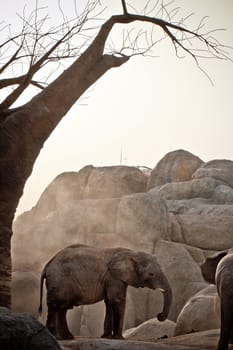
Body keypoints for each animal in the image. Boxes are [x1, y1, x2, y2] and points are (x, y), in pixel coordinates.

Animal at [38, 243, 173, 340]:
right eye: (151, 274)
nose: (159, 315)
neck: (133, 253)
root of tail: (47, 265)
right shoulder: (114, 277)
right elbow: (117, 301)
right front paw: (119, 339)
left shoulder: (112, 279)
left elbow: (109, 302)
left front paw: (106, 337)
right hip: (59, 281)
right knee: (56, 306)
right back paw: (55, 337)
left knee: (62, 308)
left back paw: (67, 338)